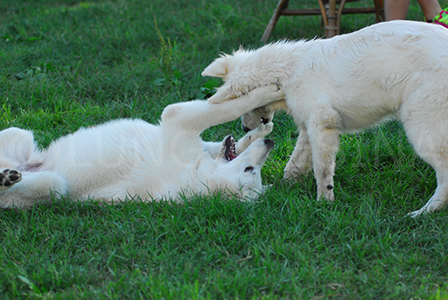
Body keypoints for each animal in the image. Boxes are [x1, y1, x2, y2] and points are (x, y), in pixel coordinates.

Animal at [0, 85, 286, 209]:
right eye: (251, 169)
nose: (269, 144)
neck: (196, 172)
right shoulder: (187, 129)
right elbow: (231, 118)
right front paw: (263, 119)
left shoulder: (178, 120)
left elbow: (229, 109)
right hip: (19, 133)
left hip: (54, 186)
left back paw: (6, 178)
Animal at [202, 21, 448, 218]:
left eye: (246, 106)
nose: (244, 128)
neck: (287, 72)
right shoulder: (308, 126)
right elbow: (295, 163)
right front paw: (285, 188)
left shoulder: (322, 122)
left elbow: (321, 168)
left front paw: (324, 202)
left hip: (421, 126)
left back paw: (425, 211)